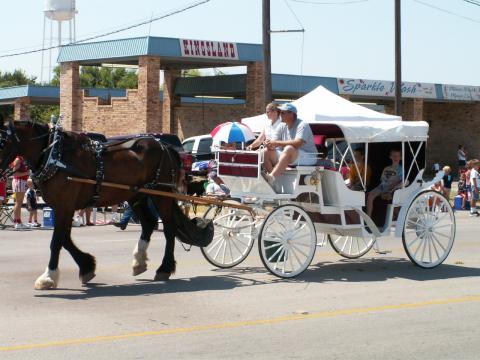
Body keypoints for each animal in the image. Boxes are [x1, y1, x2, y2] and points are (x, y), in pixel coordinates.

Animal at [0, 119, 210, 292]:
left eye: (2, 141)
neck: (54, 155)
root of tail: (165, 147)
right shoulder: (64, 207)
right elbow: (65, 239)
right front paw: (87, 267)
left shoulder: (64, 206)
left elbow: (57, 241)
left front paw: (48, 278)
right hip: (136, 195)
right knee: (149, 223)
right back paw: (139, 262)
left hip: (161, 194)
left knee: (168, 228)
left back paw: (164, 268)